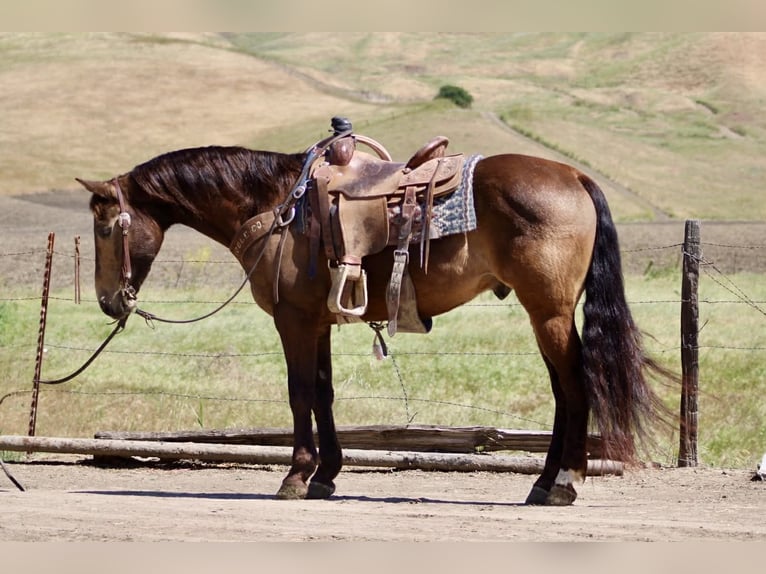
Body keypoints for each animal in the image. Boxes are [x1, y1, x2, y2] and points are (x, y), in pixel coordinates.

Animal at [77, 131, 669, 506]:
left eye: (105, 228)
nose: (109, 302)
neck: (275, 206)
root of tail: (573, 174)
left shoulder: (292, 320)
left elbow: (299, 394)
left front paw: (295, 476)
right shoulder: (316, 322)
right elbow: (323, 392)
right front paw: (326, 476)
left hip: (547, 311)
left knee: (574, 387)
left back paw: (564, 482)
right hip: (546, 313)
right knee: (563, 393)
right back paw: (543, 484)